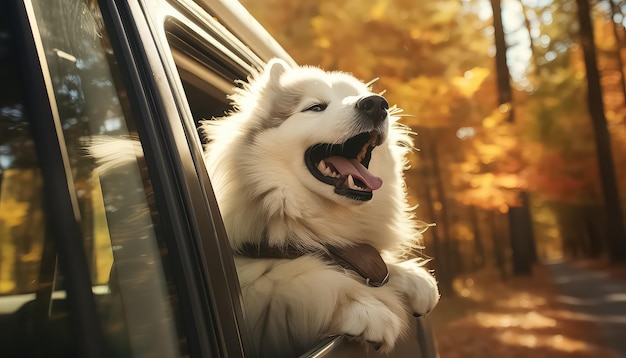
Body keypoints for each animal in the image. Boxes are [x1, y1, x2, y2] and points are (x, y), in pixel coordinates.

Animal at [201, 58, 438, 356]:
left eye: (360, 97)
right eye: (315, 107)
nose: (376, 104)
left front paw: (411, 276)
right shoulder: (254, 284)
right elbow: (296, 282)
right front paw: (365, 307)